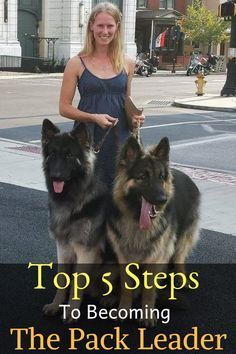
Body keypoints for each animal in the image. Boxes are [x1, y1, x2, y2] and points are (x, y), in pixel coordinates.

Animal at [41, 119, 107, 320]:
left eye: (69, 155)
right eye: (53, 154)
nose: (55, 176)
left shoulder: (86, 251)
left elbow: (77, 285)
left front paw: (71, 311)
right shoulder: (62, 247)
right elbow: (62, 280)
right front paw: (56, 305)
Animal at [108, 136, 200, 326]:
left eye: (161, 177)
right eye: (143, 177)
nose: (162, 200)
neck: (136, 222)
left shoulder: (156, 256)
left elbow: (149, 291)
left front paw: (147, 315)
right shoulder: (123, 256)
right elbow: (126, 288)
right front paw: (124, 309)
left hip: (182, 236)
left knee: (179, 256)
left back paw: (181, 278)